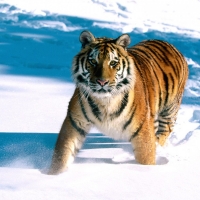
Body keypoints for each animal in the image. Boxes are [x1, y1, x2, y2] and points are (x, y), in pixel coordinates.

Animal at [47, 30, 188, 174]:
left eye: (113, 63)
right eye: (93, 61)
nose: (102, 82)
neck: (105, 101)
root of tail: (169, 44)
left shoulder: (142, 130)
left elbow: (146, 158)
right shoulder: (75, 122)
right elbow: (63, 153)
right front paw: (52, 174)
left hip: (169, 110)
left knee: (165, 131)